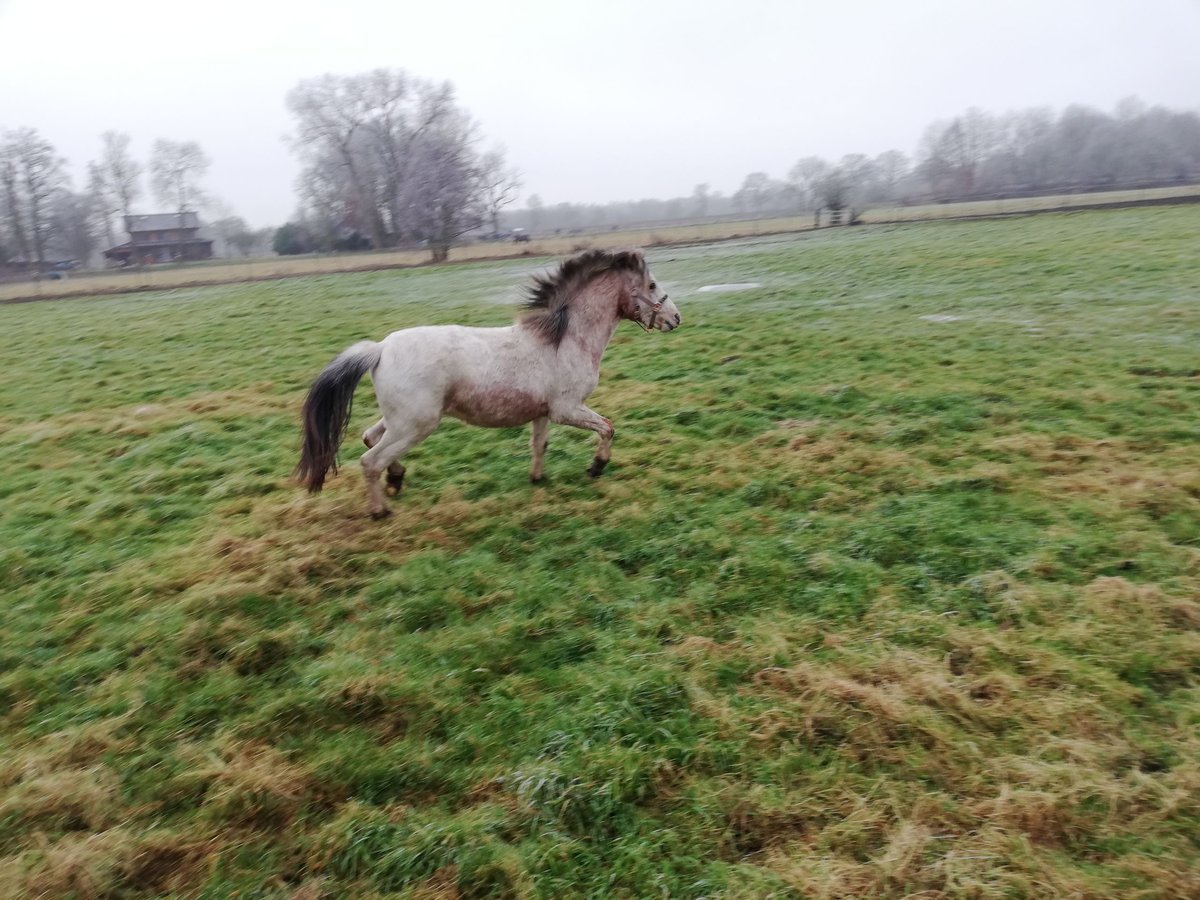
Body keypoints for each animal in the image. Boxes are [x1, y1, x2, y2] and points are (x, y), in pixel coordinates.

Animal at [295, 250, 681, 518]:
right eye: (651, 285)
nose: (675, 318)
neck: (565, 339)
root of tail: (379, 349)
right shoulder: (567, 409)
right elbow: (608, 427)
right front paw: (597, 467)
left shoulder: (543, 413)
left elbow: (539, 446)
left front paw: (537, 479)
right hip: (415, 424)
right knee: (369, 460)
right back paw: (380, 511)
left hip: (400, 420)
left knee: (369, 437)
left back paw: (396, 479)